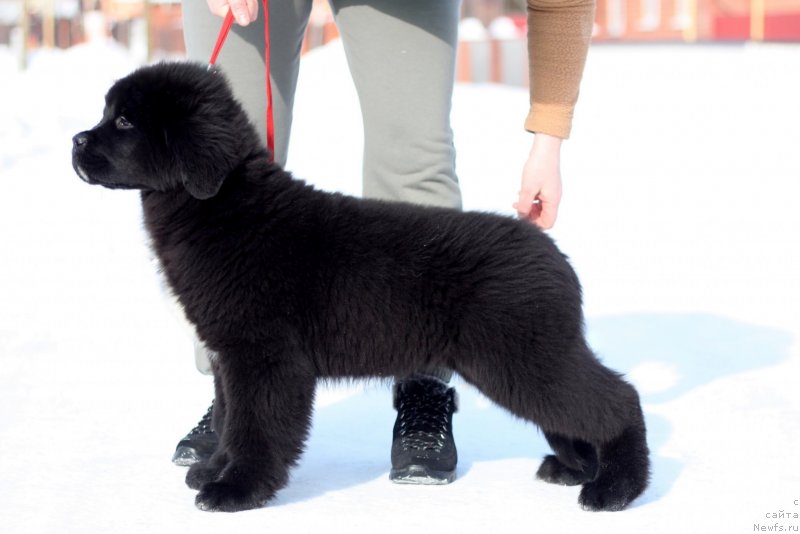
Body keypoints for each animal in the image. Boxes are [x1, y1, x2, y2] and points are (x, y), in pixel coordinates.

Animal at [72, 62, 648, 516]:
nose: (76, 141)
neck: (226, 207)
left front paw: (236, 490)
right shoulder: (229, 356)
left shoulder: (264, 356)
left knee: (617, 400)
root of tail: (553, 253)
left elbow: (254, 426)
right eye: (107, 114)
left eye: (123, 122)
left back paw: (617, 489)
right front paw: (213, 470)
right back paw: (577, 468)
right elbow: (228, 416)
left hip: (522, 359)